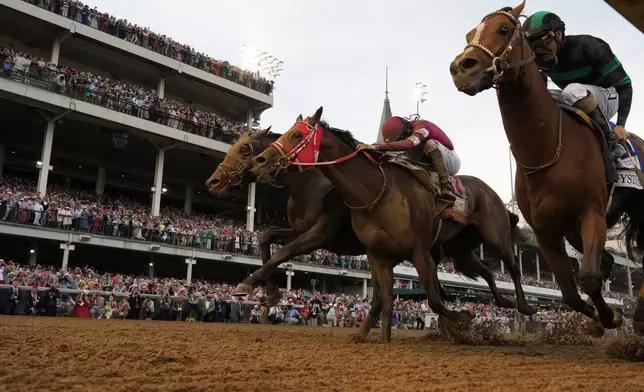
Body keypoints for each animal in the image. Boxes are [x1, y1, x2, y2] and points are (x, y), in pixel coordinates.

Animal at [205, 129, 532, 318]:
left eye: (245, 149)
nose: (213, 182)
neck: (312, 185)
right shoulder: (299, 230)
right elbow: (265, 239)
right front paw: (270, 295)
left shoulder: (320, 234)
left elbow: (283, 253)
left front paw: (247, 285)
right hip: (458, 248)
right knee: (485, 270)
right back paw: (499, 303)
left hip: (495, 235)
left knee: (511, 266)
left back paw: (523, 305)